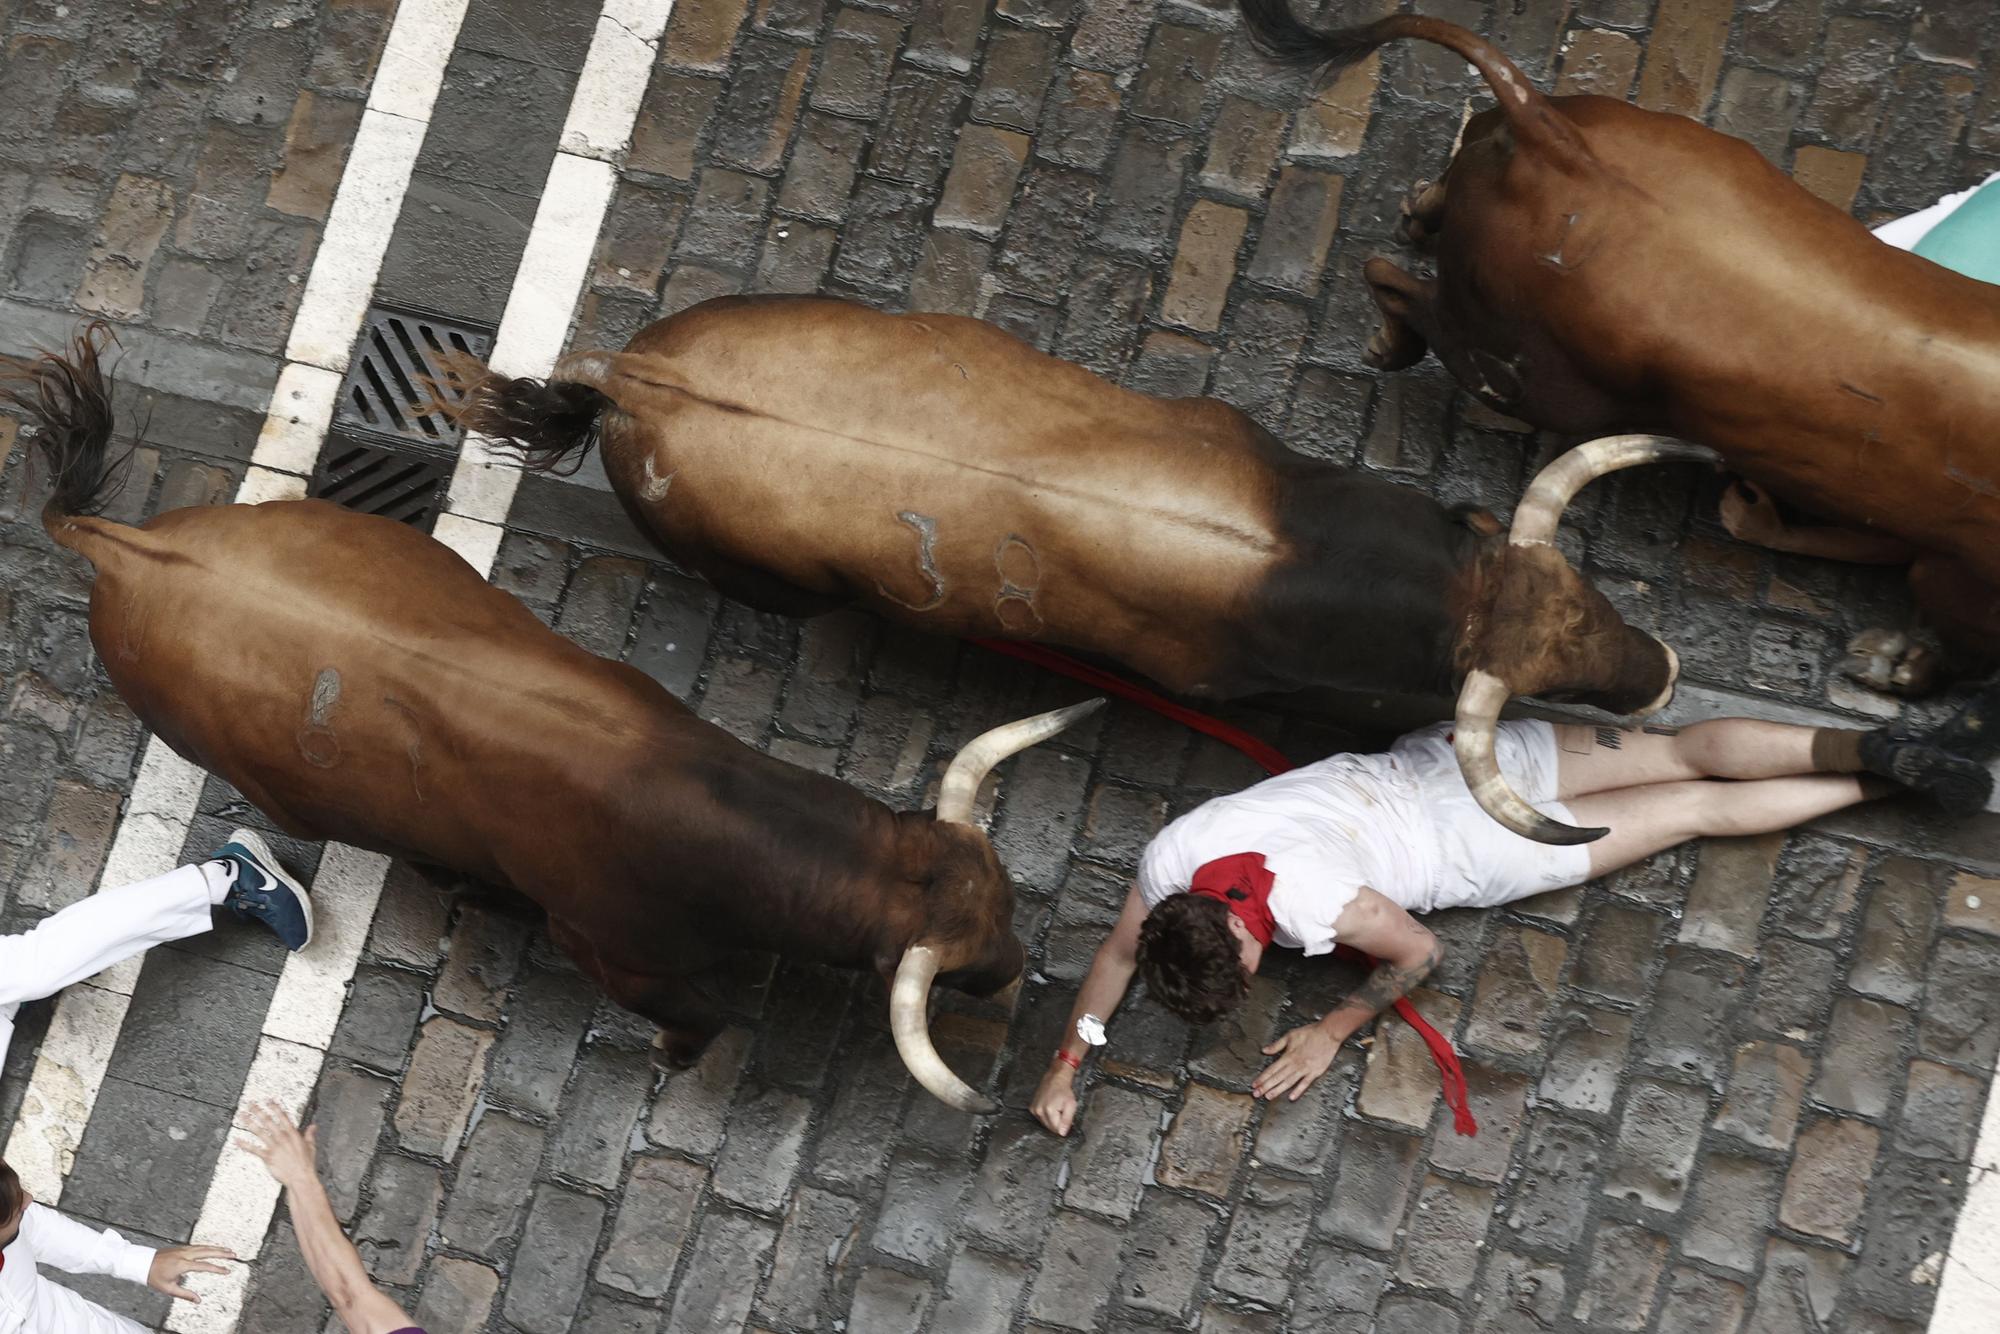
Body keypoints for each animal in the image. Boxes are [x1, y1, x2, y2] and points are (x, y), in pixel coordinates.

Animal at [3, 328, 1112, 1112]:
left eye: (1006, 900)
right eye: (956, 960)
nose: (1016, 973)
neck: (724, 816)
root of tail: (121, 545)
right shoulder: (613, 951)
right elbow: (700, 1013)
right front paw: (674, 1056)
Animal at [1240, 2, 2000, 680]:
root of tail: (1555, 139)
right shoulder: (1961, 578)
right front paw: (1895, 665)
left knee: (1430, 206)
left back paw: (1416, 219)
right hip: (1527, 378)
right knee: (1394, 284)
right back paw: (1388, 343)